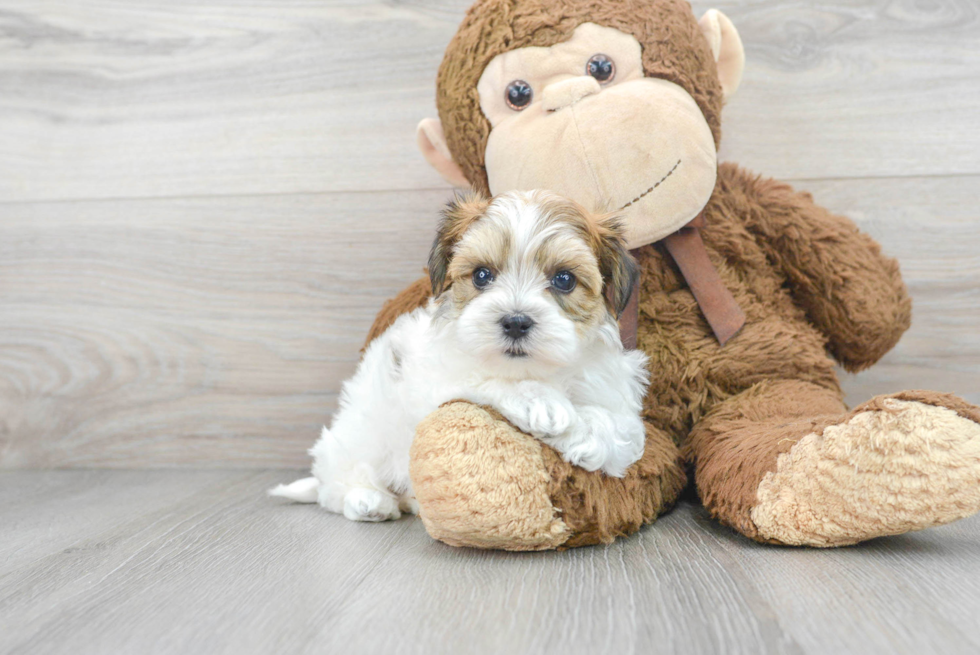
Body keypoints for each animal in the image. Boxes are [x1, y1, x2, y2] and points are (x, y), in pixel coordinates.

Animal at [270, 190, 652, 524]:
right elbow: (482, 378)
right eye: (482, 275)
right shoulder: (436, 378)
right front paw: (542, 403)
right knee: (336, 486)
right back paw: (369, 501)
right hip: (362, 431)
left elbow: (622, 429)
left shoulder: (616, 393)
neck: (534, 369)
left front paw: (586, 435)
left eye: (564, 279)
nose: (515, 321)